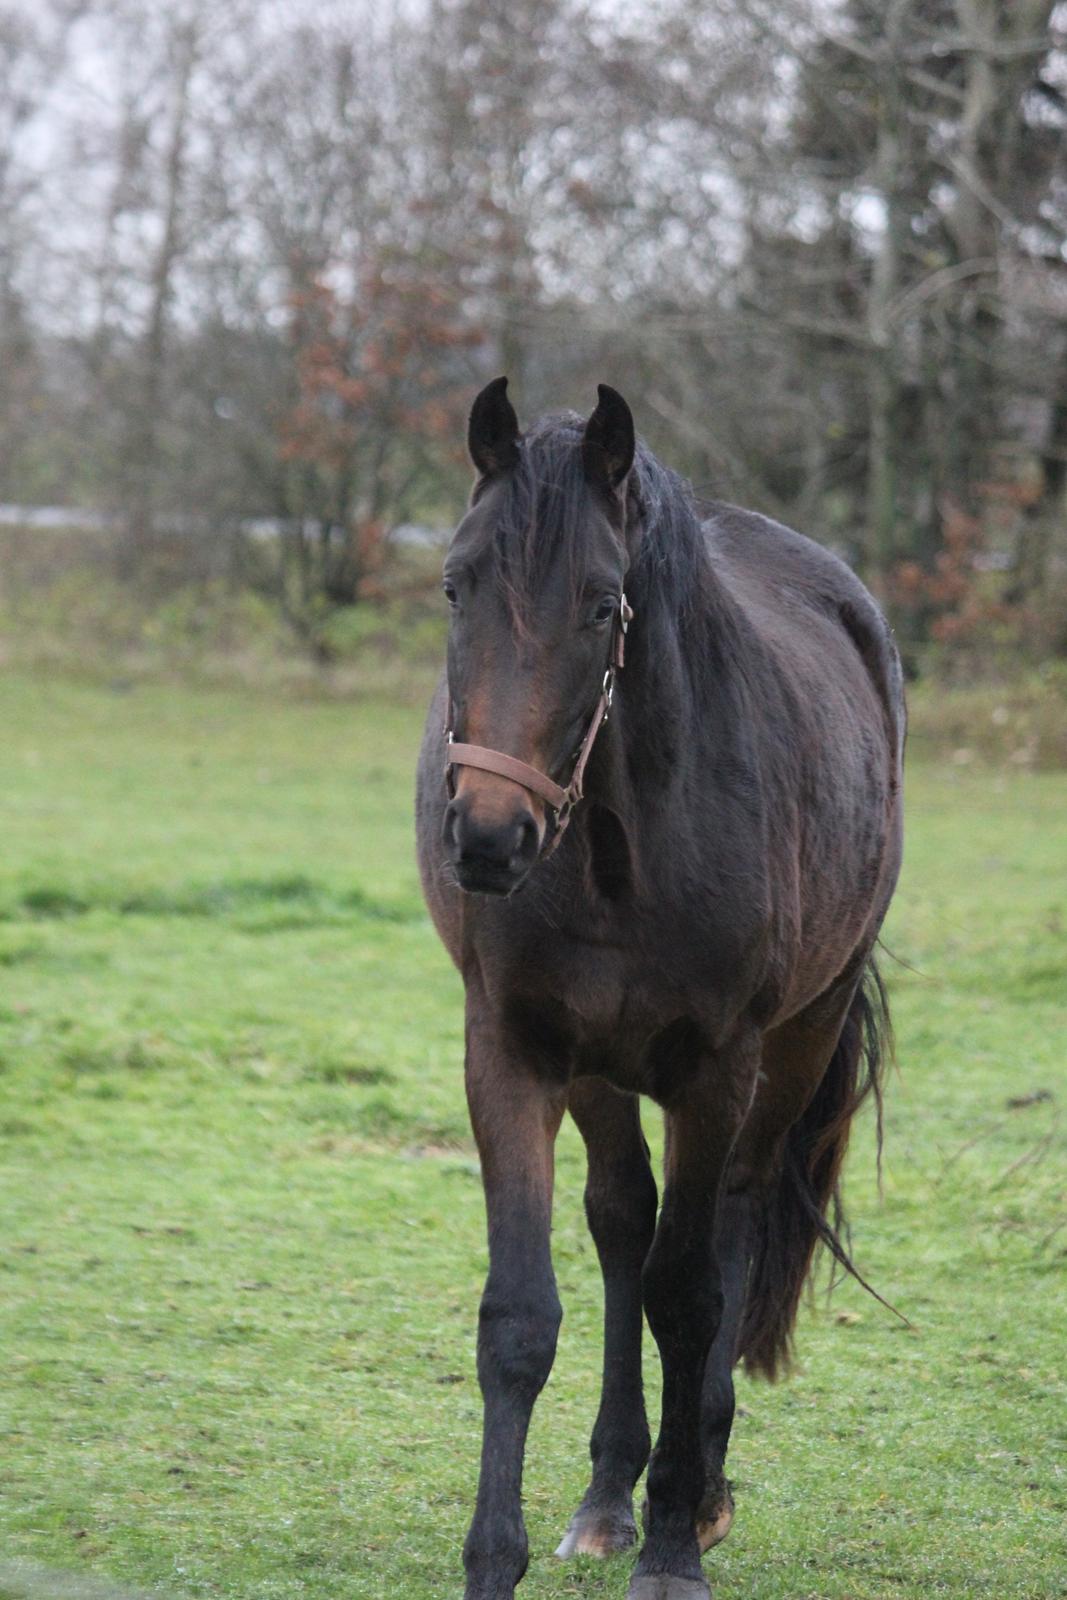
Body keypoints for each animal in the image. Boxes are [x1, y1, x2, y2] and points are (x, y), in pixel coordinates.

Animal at [412, 377, 908, 1600]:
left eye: (602, 605)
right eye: (454, 582)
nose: (484, 838)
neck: (615, 847)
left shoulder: (714, 1066)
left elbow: (689, 1297)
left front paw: (676, 1544)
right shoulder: (514, 1051)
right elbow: (519, 1315)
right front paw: (494, 1558)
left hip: (791, 1045)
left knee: (725, 1227)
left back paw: (699, 1486)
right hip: (600, 1070)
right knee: (622, 1223)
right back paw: (606, 1498)